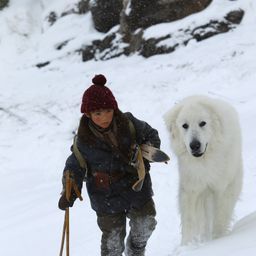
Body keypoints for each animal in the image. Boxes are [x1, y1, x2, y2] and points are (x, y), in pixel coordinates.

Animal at [165, 95, 243, 244]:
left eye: (203, 123)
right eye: (185, 125)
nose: (194, 145)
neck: (205, 161)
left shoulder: (222, 184)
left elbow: (221, 213)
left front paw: (217, 239)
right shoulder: (192, 184)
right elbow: (189, 217)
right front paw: (187, 244)